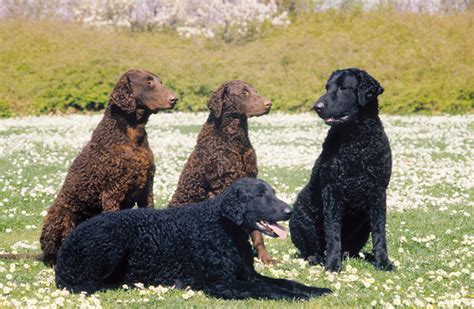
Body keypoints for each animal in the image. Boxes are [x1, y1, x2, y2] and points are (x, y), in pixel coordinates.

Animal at [37, 70, 178, 264]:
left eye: (160, 82)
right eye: (148, 82)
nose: (175, 99)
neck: (132, 136)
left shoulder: (146, 189)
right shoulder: (112, 192)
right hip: (60, 216)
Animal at [55, 177, 330, 300]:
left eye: (272, 192)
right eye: (260, 195)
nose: (290, 211)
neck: (225, 229)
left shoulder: (247, 275)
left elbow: (287, 281)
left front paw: (316, 289)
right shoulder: (223, 284)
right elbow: (269, 288)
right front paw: (301, 297)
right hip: (111, 242)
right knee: (83, 285)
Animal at [290, 68, 394, 270]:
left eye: (343, 88)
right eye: (327, 87)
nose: (317, 106)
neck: (356, 143)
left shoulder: (378, 194)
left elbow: (380, 234)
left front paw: (383, 262)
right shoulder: (332, 193)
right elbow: (333, 234)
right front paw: (332, 265)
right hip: (301, 216)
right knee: (310, 250)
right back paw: (318, 258)